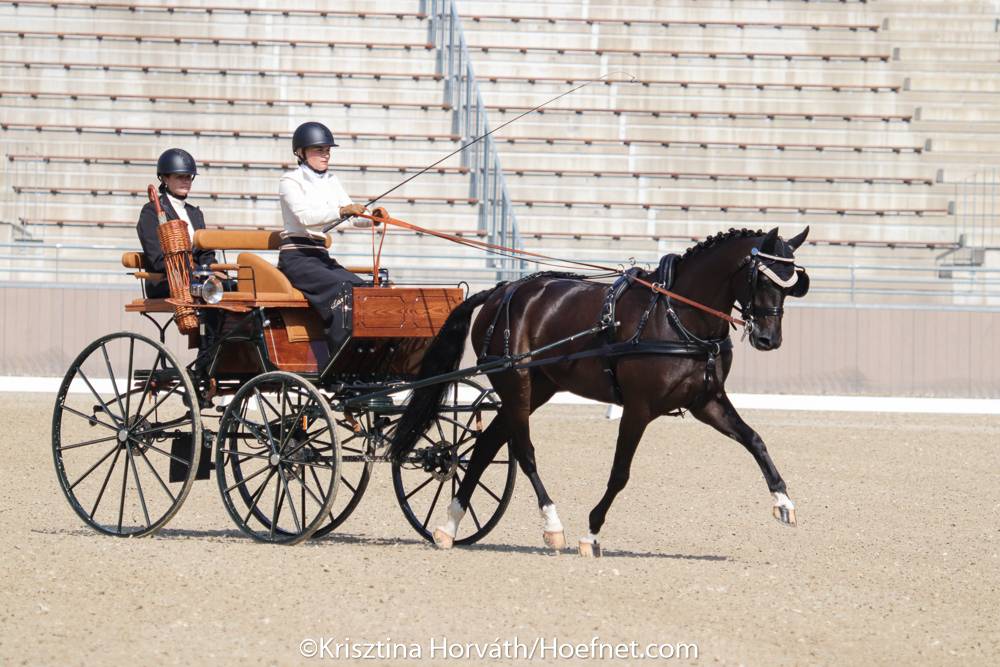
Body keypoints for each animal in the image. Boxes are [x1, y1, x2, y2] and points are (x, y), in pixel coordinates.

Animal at [386, 227, 808, 556]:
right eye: (764, 279)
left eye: (792, 283)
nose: (769, 339)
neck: (676, 316)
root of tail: (501, 290)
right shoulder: (638, 408)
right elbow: (620, 472)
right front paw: (591, 533)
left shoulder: (707, 402)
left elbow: (754, 440)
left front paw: (784, 501)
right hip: (516, 384)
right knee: (523, 451)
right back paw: (551, 524)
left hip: (539, 387)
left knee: (487, 444)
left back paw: (449, 527)